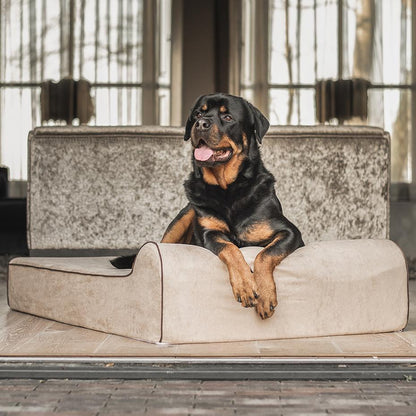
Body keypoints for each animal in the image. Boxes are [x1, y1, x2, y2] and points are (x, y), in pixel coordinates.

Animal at [112, 93, 304, 318]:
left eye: (227, 117)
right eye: (197, 113)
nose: (201, 123)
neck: (228, 189)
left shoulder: (290, 232)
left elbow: (265, 254)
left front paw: (265, 295)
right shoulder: (209, 233)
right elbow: (230, 248)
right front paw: (246, 285)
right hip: (184, 215)